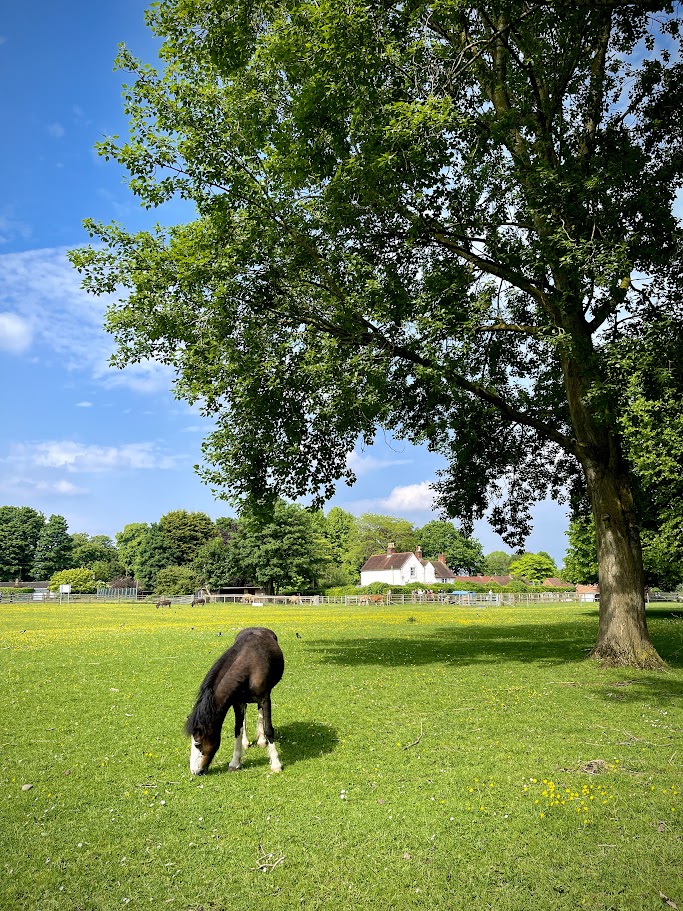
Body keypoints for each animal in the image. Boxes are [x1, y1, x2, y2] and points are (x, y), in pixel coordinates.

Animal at [186, 627, 285, 775]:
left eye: (197, 743)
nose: (194, 771)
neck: (248, 667)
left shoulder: (265, 698)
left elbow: (268, 729)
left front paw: (276, 764)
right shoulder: (237, 702)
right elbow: (238, 729)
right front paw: (235, 762)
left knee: (260, 713)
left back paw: (262, 740)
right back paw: (246, 742)